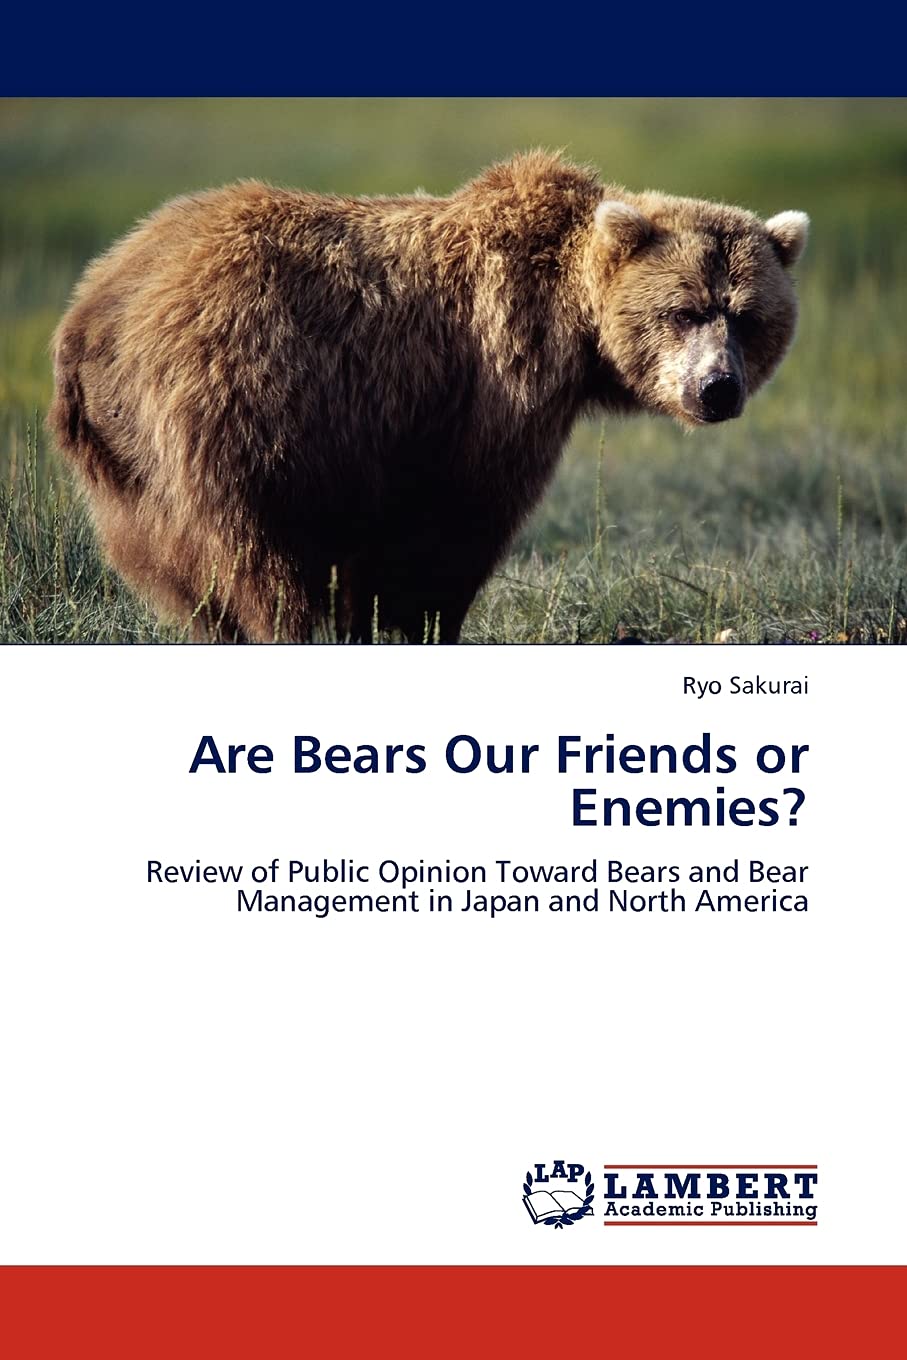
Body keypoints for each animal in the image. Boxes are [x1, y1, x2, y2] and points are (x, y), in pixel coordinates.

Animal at [49, 151, 808, 643]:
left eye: (745, 315)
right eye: (682, 310)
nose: (717, 387)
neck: (574, 325)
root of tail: (97, 303)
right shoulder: (482, 387)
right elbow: (457, 521)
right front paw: (419, 620)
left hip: (128, 462)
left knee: (174, 560)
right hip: (241, 399)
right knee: (256, 546)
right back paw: (291, 628)